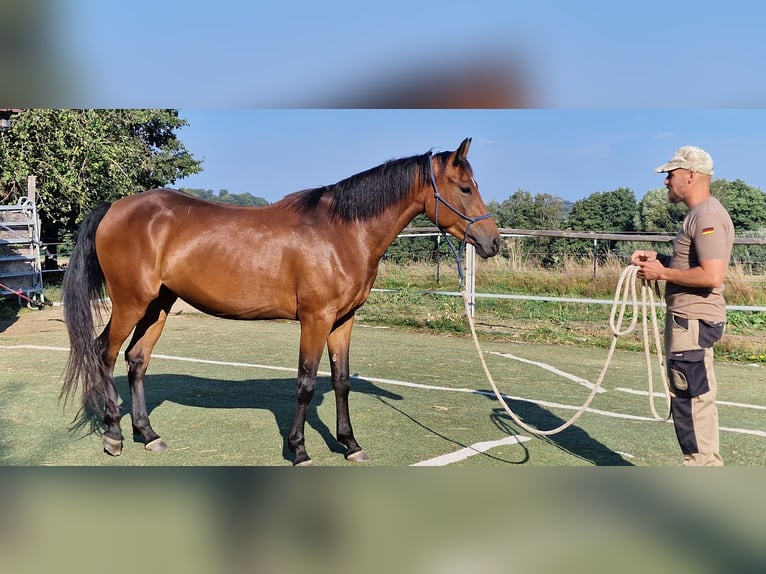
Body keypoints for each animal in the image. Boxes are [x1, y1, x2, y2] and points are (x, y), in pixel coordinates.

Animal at [61, 137, 504, 466]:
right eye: (465, 188)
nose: (493, 243)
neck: (342, 233)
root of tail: (115, 208)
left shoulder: (343, 320)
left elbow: (340, 380)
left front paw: (350, 445)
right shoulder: (316, 318)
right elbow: (305, 383)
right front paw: (299, 450)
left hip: (158, 305)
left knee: (137, 360)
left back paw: (148, 434)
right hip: (131, 302)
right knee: (104, 354)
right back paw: (114, 435)